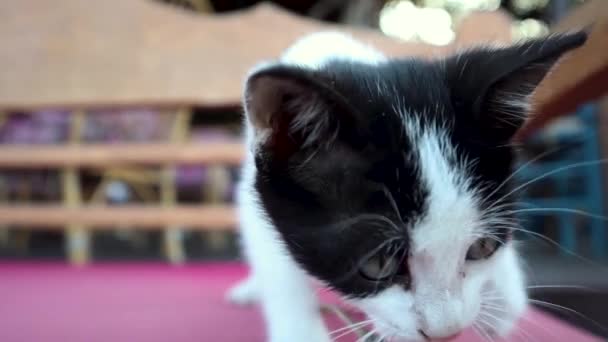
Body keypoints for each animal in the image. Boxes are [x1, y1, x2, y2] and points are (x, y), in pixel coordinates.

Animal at [226, 30, 588, 342]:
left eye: (482, 247)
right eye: (378, 262)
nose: (446, 332)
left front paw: (504, 302)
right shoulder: (258, 199)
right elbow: (275, 263)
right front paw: (299, 330)